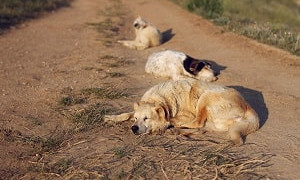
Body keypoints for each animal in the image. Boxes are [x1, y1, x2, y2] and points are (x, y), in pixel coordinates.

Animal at [105, 79, 260, 145]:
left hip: (206, 96)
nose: (134, 128)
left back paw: (172, 127)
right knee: (200, 128)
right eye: (136, 119)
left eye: (146, 118)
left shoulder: (186, 115)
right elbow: (127, 113)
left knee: (197, 122)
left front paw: (163, 124)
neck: (163, 100)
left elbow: (171, 120)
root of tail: (248, 106)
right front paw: (112, 117)